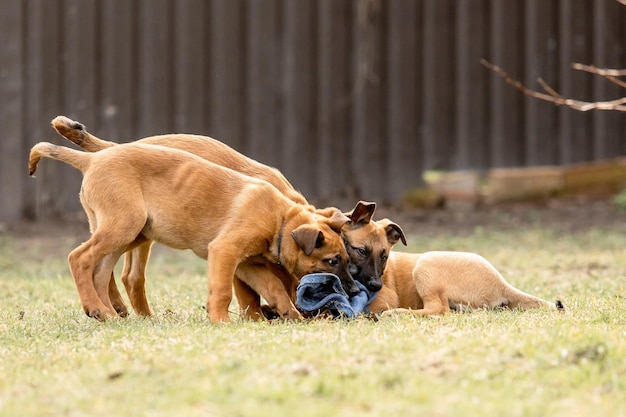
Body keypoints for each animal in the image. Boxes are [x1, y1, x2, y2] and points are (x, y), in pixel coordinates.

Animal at [52, 116, 404, 318]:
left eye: (385, 256)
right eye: (358, 251)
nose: (365, 288)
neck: (285, 213)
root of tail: (106, 152)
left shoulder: (254, 262)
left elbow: (277, 288)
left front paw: (287, 313)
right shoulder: (230, 255)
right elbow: (245, 294)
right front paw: (252, 318)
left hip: (136, 230)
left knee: (115, 271)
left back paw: (117, 310)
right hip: (128, 226)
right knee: (92, 261)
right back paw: (103, 307)